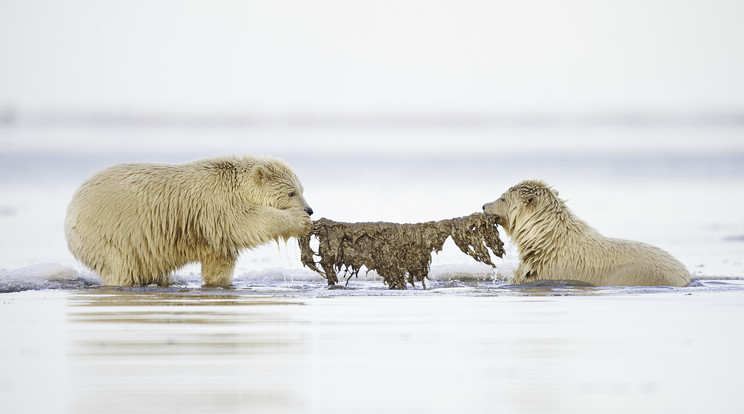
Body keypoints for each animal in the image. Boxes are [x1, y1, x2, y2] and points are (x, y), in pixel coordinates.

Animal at [67, 155, 314, 288]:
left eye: (302, 189)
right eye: (291, 193)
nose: (310, 210)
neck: (234, 184)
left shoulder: (214, 231)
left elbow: (219, 260)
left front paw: (219, 282)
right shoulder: (216, 204)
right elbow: (245, 222)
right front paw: (298, 221)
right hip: (110, 236)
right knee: (121, 268)